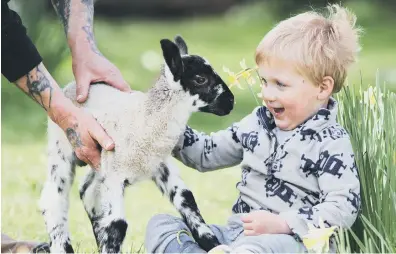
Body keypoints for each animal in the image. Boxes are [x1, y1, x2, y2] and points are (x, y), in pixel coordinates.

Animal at [38, 34, 234, 253]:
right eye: (200, 79)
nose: (230, 102)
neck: (146, 120)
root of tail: (72, 86)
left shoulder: (161, 167)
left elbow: (188, 202)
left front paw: (214, 245)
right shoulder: (115, 175)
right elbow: (117, 225)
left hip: (99, 161)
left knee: (88, 193)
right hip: (62, 146)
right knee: (54, 199)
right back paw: (62, 245)